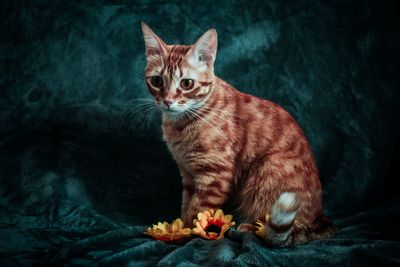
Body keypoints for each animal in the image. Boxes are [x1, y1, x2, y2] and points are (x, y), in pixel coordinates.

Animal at [141, 23, 334, 247]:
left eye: (186, 84)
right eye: (157, 81)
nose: (167, 101)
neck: (181, 124)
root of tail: (319, 219)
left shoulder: (215, 174)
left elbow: (197, 210)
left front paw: (187, 232)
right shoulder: (188, 174)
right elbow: (187, 204)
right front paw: (179, 227)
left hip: (268, 169)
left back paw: (249, 228)